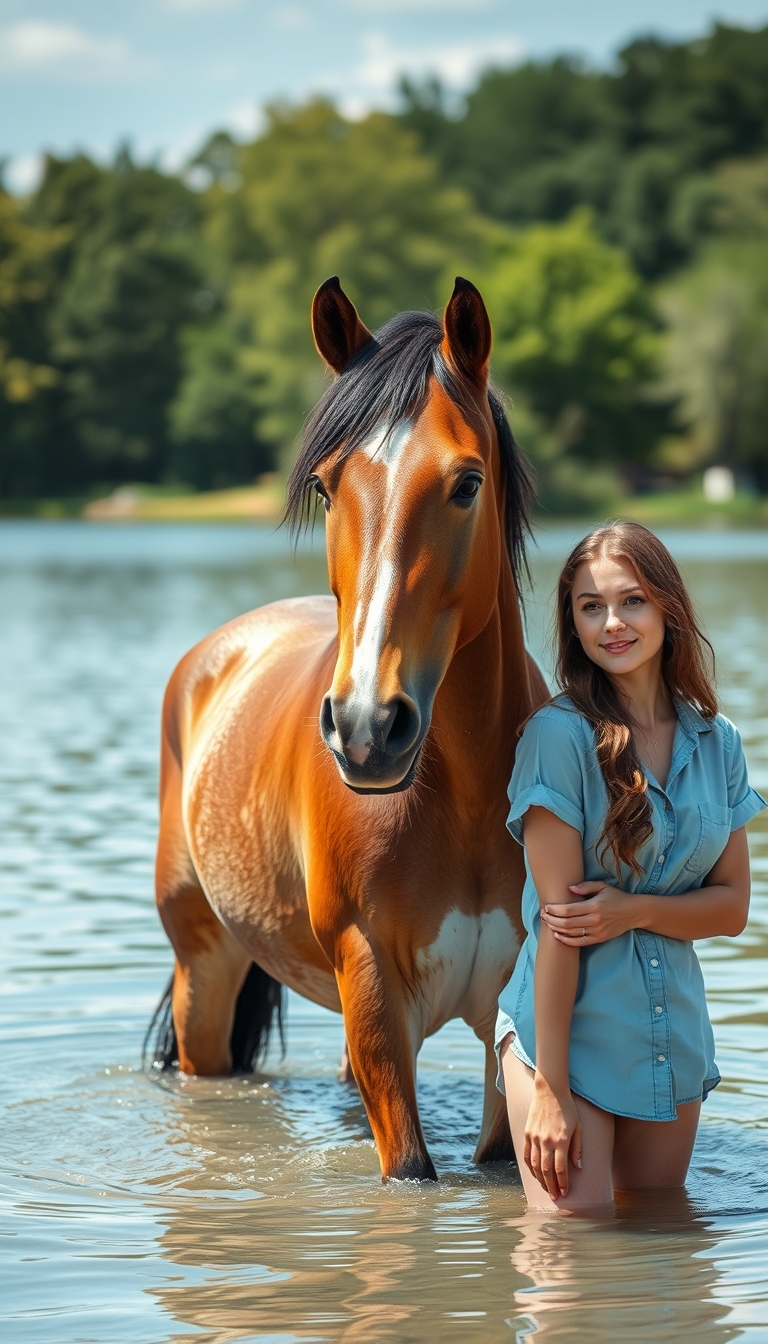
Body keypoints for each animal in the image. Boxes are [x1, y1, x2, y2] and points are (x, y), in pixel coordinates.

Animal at [147, 275, 548, 1177]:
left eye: (467, 482)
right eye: (328, 487)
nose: (368, 725)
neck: (466, 797)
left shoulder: (511, 1015)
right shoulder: (373, 990)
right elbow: (410, 1174)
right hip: (204, 975)